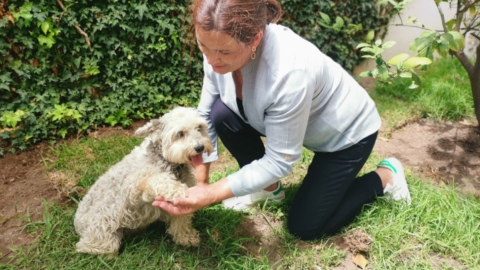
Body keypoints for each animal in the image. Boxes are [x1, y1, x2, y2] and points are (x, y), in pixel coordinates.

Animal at [72, 107, 212, 258]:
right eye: (180, 133)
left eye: (199, 127)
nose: (200, 147)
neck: (166, 159)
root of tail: (77, 224)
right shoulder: (134, 184)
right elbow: (158, 179)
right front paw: (177, 189)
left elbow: (182, 220)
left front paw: (186, 238)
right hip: (104, 229)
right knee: (86, 247)